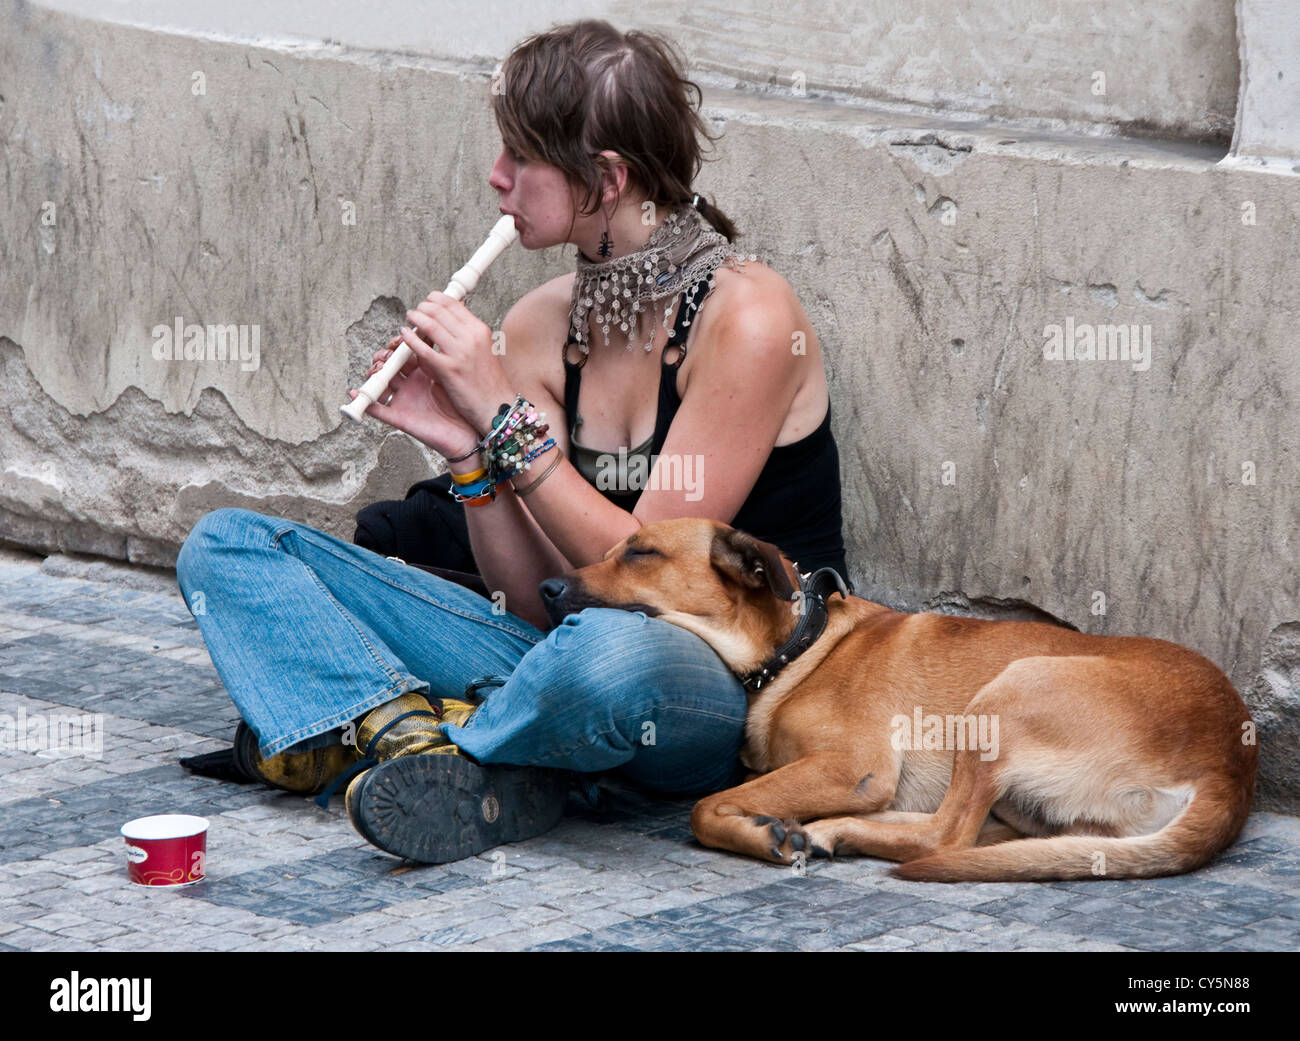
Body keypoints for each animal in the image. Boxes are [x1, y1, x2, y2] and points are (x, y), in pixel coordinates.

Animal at [538, 517, 1258, 878]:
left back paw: (830, 830)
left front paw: (757, 832)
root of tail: (1232, 765)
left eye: (641, 552)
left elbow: (704, 808)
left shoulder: (852, 766)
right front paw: (777, 824)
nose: (546, 587)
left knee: (944, 837)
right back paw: (829, 830)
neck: (798, 648)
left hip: (1007, 693)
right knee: (967, 836)